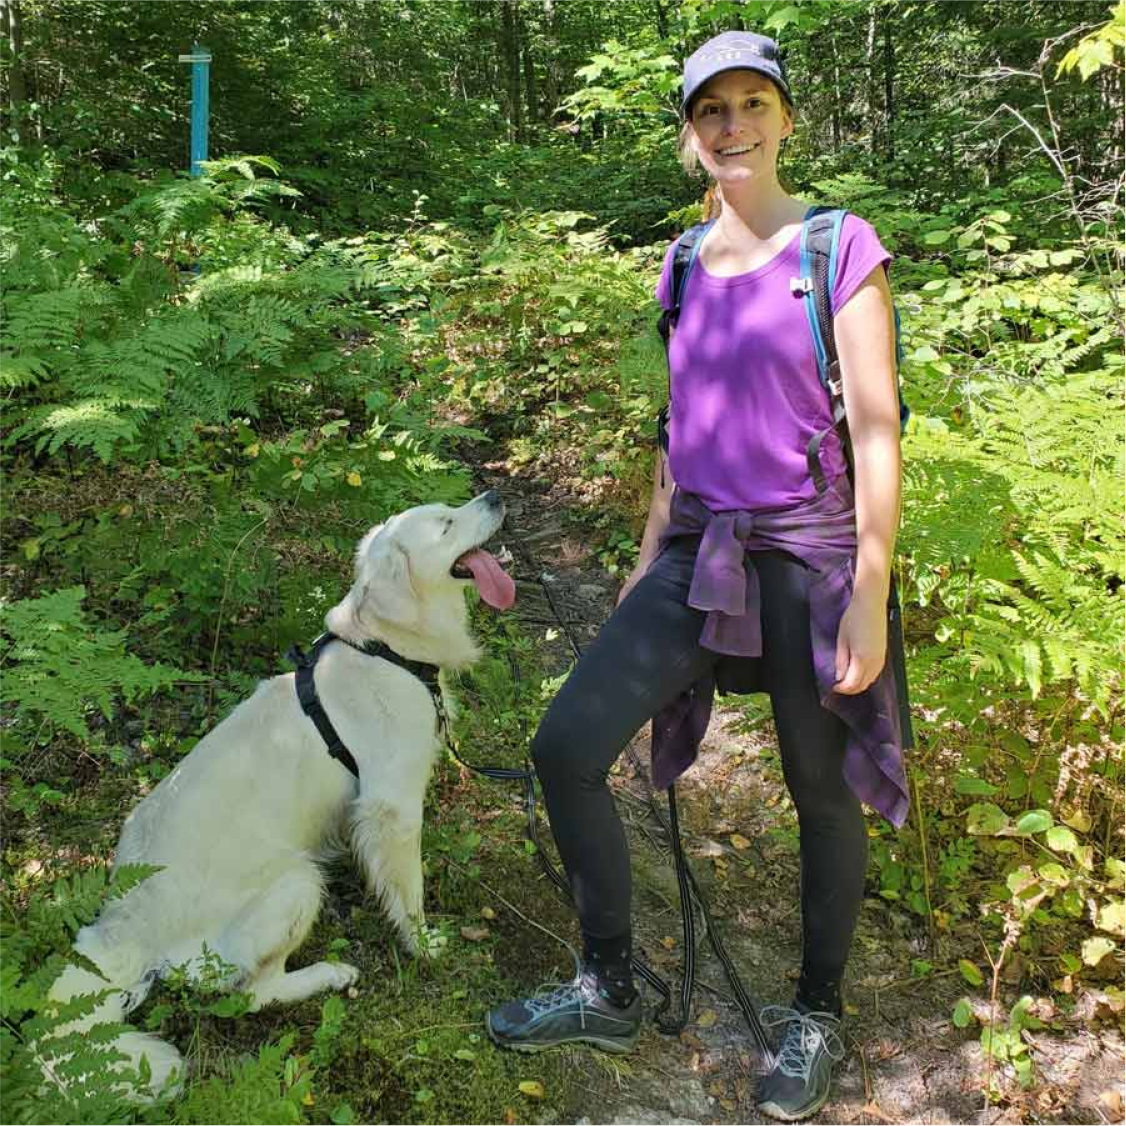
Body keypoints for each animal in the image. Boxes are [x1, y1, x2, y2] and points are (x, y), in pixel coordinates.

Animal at [43, 488, 515, 1094]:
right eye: (445, 524)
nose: (495, 495)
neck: (385, 648)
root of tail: (121, 928)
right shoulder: (392, 807)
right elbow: (408, 891)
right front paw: (422, 943)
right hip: (296, 883)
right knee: (253, 993)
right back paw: (328, 972)